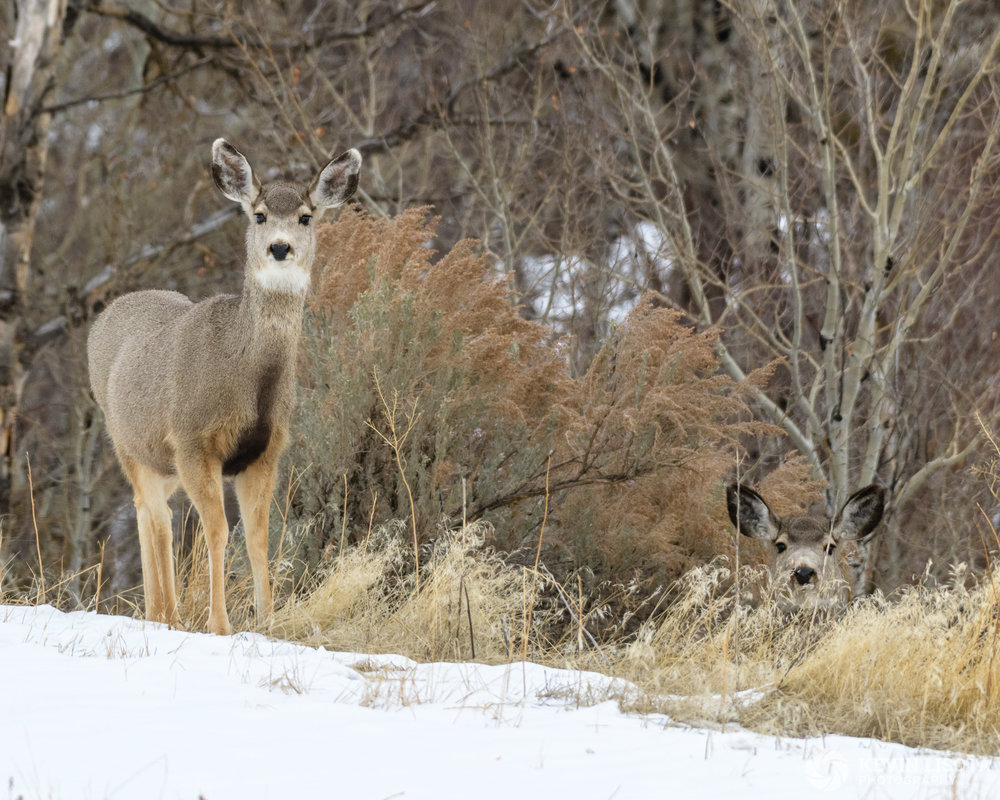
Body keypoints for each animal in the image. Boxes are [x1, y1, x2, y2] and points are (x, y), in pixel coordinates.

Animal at [89, 139, 364, 636]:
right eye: (258, 214)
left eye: (305, 217)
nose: (279, 247)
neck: (248, 381)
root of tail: (106, 314)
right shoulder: (195, 441)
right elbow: (216, 531)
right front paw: (220, 624)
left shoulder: (266, 451)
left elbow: (258, 536)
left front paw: (268, 619)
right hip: (128, 443)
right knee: (157, 517)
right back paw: (169, 615)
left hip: (159, 460)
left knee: (148, 512)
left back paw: (162, 612)